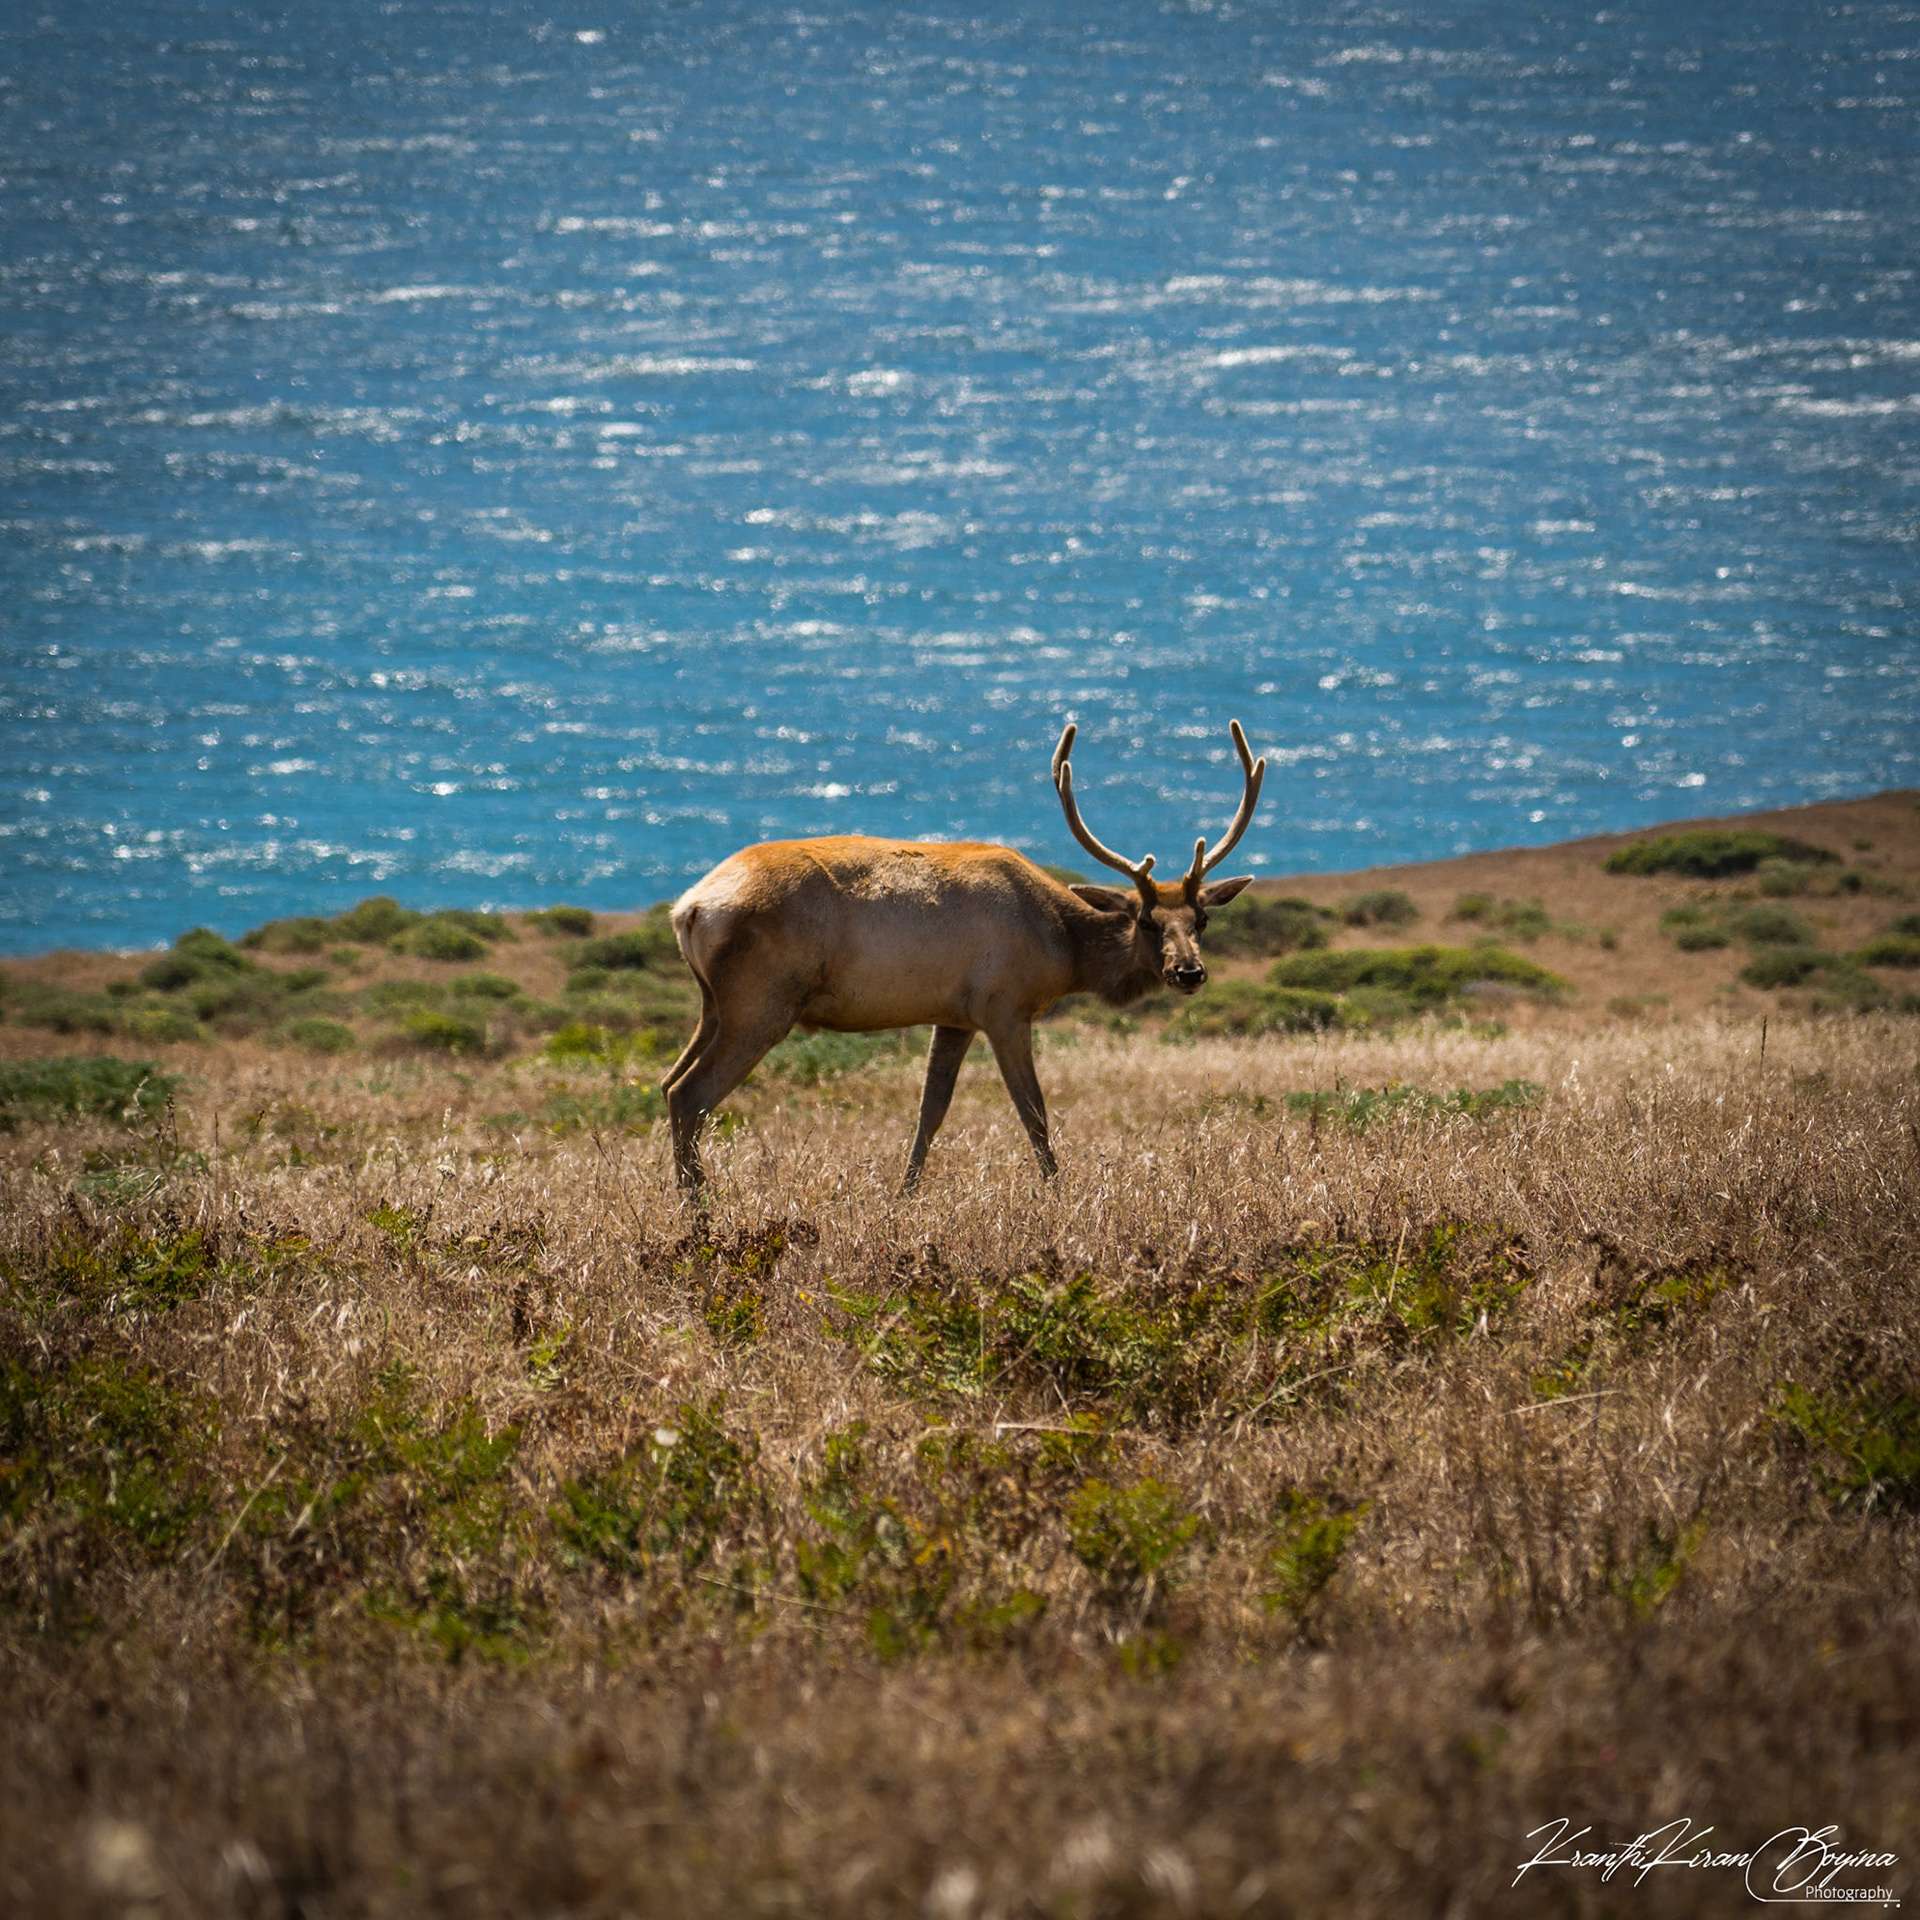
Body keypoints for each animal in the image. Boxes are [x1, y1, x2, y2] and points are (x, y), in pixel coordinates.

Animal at [662, 719, 1267, 1192]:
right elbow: (1033, 1113)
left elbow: (931, 1110)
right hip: (762, 1002)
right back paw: (703, 1212)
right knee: (692, 1095)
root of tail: (690, 908)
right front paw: (1058, 1194)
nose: (1188, 972)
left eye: (1201, 920)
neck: (1064, 950)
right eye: (1146, 920)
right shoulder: (1004, 1006)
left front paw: (904, 1196)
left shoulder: (952, 1016)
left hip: (714, 1004)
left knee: (669, 1084)